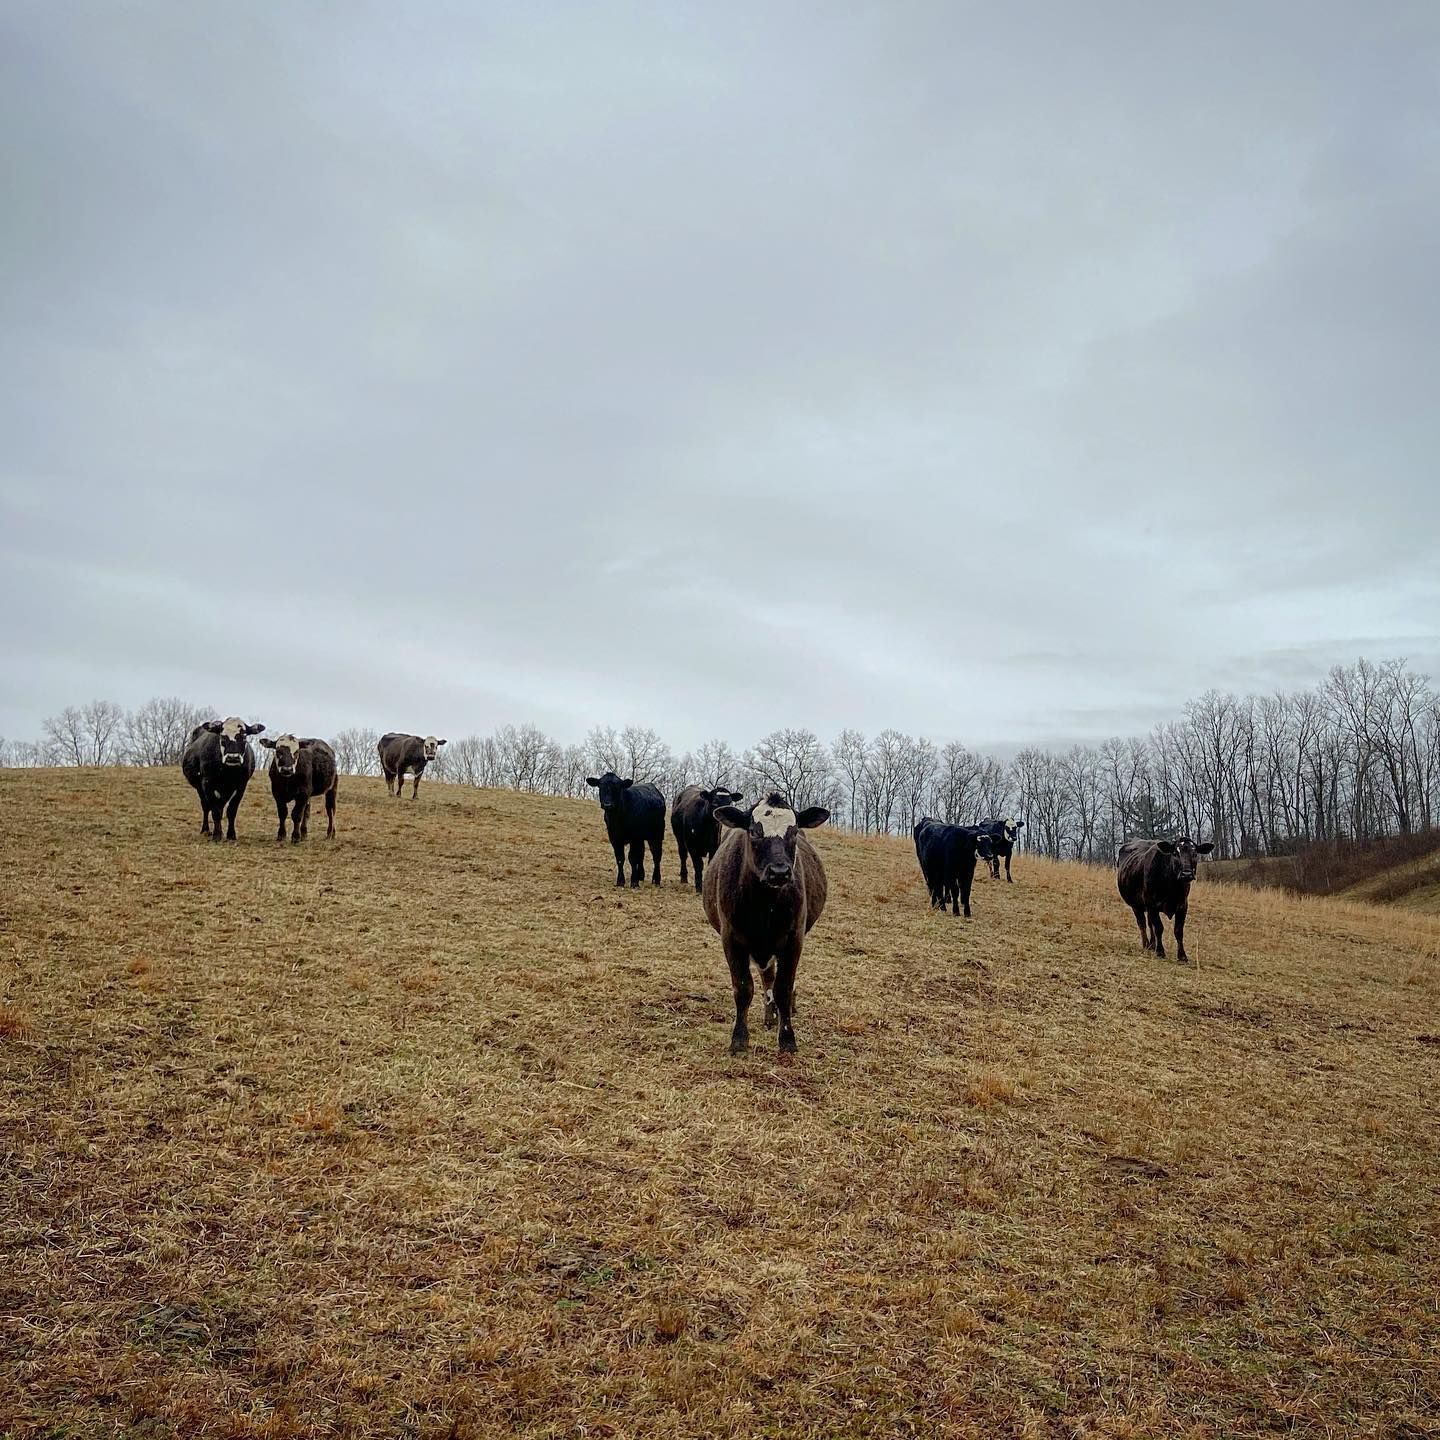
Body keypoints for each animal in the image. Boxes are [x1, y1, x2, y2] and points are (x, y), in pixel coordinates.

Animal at [703, 794, 829, 1054]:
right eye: (754, 831)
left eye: (793, 831)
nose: (779, 872)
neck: (764, 905)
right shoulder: (731, 939)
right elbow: (743, 988)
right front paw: (739, 1038)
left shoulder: (793, 939)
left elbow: (783, 987)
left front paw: (787, 1038)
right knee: (766, 976)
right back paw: (770, 1016)